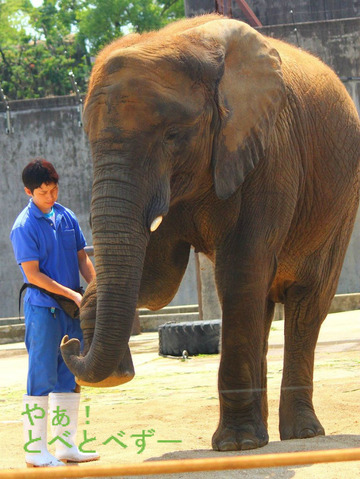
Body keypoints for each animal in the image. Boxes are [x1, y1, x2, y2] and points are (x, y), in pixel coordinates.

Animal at [60, 13, 360, 452]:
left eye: (172, 136)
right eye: (89, 142)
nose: (70, 344)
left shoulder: (270, 151)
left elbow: (239, 270)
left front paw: (236, 446)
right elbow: (157, 282)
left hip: (340, 203)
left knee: (306, 303)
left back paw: (299, 434)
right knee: (262, 304)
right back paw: (267, 435)